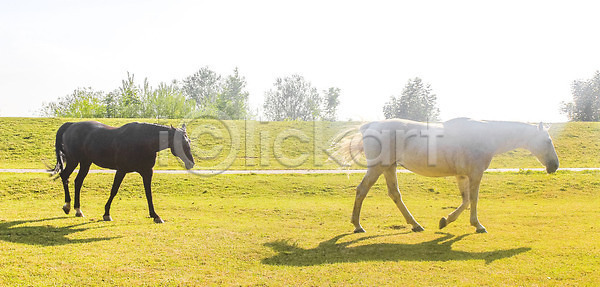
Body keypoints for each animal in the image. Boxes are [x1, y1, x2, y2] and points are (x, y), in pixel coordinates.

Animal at [49, 120, 195, 224]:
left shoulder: (147, 172)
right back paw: (67, 206)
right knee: (65, 176)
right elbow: (114, 190)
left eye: (188, 142)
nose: (191, 163)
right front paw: (106, 213)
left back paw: (78, 210)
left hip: (85, 163)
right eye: (181, 142)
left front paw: (155, 215)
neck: (142, 141)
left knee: (78, 181)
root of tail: (71, 125)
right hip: (74, 160)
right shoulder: (121, 170)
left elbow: (149, 194)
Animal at [340, 117, 560, 234]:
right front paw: (478, 225)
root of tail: (370, 126)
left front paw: (446, 220)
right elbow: (473, 199)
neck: (485, 136)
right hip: (378, 167)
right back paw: (358, 226)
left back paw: (415, 225)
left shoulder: (462, 176)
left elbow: (465, 201)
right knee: (362, 190)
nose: (554, 166)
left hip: (389, 168)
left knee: (394, 194)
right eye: (548, 140)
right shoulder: (475, 174)